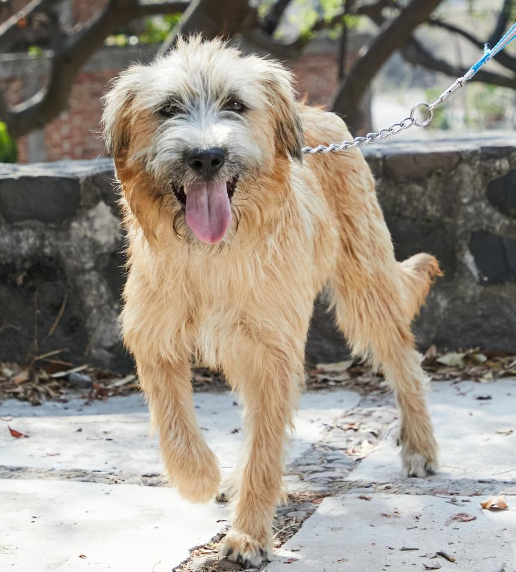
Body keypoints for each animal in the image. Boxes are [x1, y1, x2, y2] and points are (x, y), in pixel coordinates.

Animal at [103, 36, 442, 568]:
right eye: (168, 109)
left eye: (236, 105)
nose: (207, 157)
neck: (211, 255)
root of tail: (319, 114)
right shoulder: (154, 335)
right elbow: (174, 422)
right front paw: (201, 477)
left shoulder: (272, 351)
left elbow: (265, 444)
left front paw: (248, 535)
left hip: (366, 287)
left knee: (404, 365)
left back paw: (420, 447)